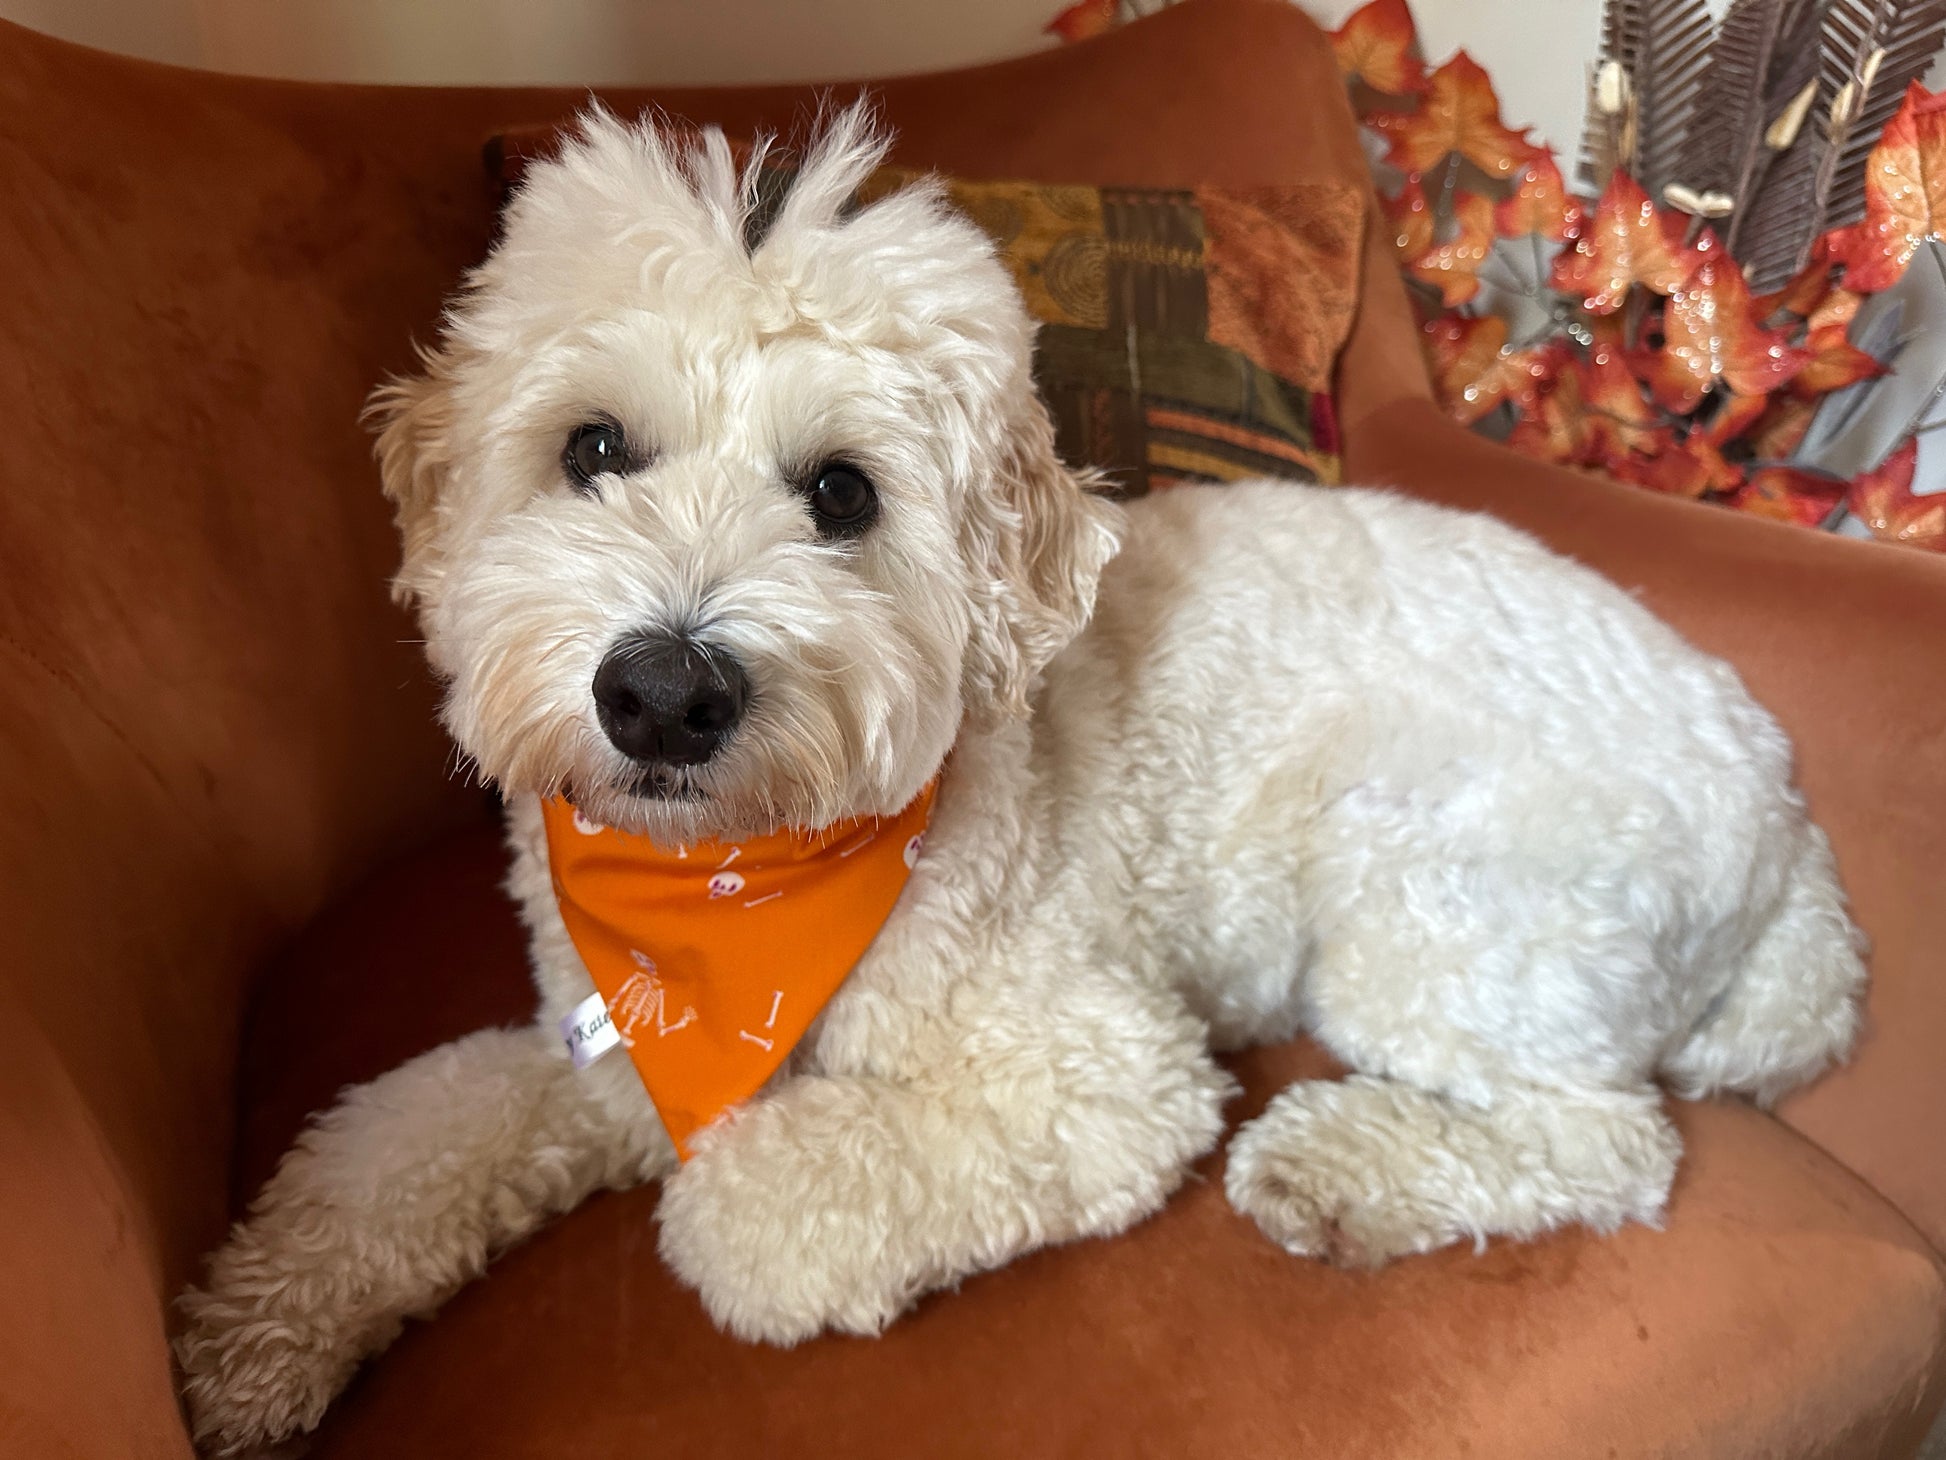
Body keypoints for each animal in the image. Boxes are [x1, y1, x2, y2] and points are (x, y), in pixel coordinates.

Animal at [175, 108, 1860, 1456]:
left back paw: (1343, 1166)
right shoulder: (611, 1036)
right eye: (592, 449)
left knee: (1608, 1144)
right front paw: (252, 1334)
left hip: (1434, 896)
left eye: (840, 493)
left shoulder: (1104, 1071)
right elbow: (411, 1142)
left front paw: (728, 1192)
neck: (741, 886)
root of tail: (1785, 823)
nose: (662, 691)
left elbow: (756, 1196)